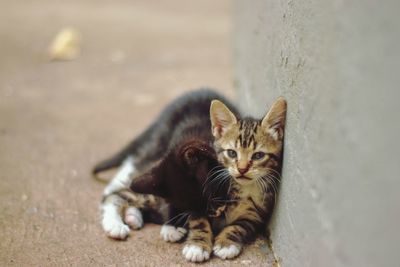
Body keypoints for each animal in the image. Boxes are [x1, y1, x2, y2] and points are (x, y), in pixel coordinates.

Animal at [208, 97, 286, 260]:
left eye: (258, 155)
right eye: (232, 153)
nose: (242, 169)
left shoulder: (255, 214)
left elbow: (238, 226)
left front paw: (226, 243)